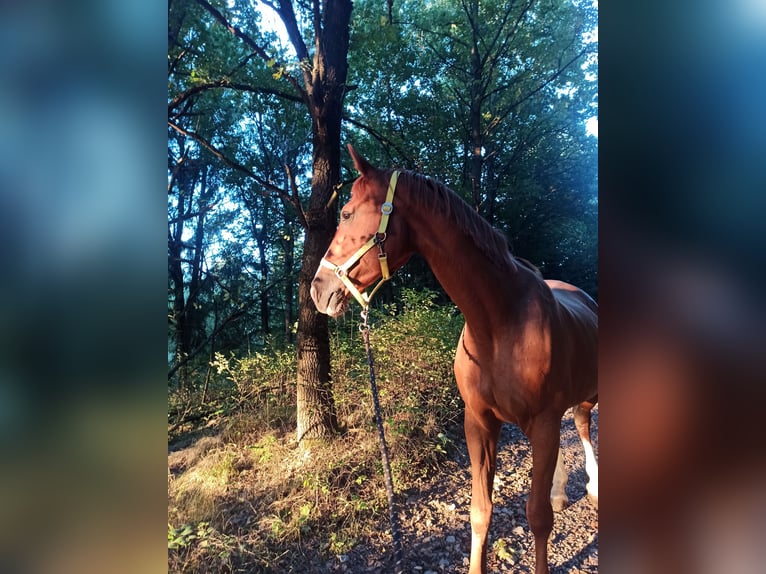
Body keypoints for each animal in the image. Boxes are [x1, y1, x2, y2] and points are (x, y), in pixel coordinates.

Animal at [311, 145, 598, 574]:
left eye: (345, 213)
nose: (318, 290)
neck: (499, 324)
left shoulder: (543, 423)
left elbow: (537, 517)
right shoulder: (478, 422)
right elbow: (480, 511)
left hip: (588, 395)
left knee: (581, 425)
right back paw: (562, 490)